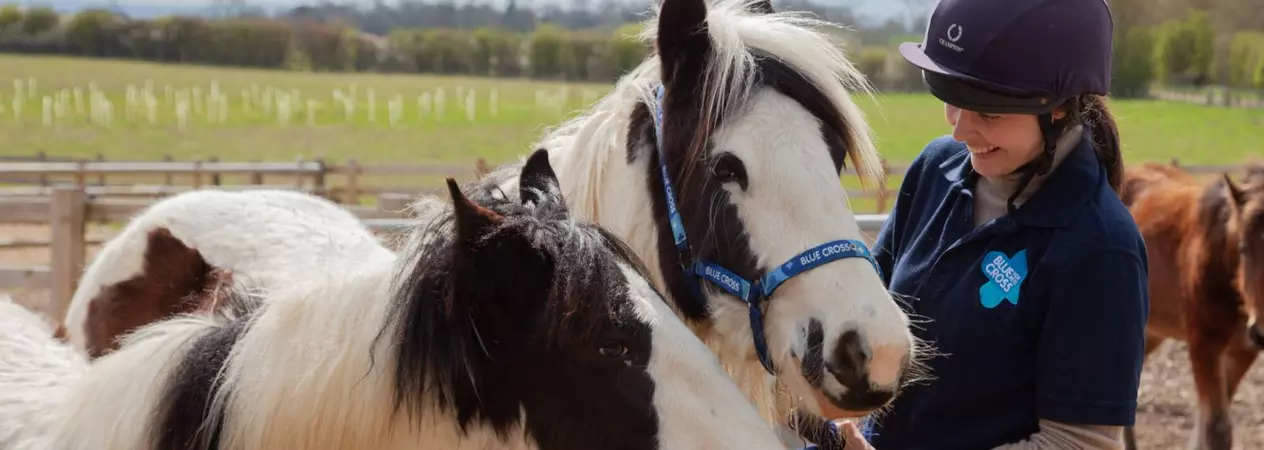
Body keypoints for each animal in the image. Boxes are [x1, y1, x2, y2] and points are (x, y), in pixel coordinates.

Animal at [1120, 161, 1264, 450]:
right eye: (1244, 248)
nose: (1262, 331)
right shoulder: (1204, 345)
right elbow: (1217, 430)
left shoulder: (1243, 351)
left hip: (1152, 331)